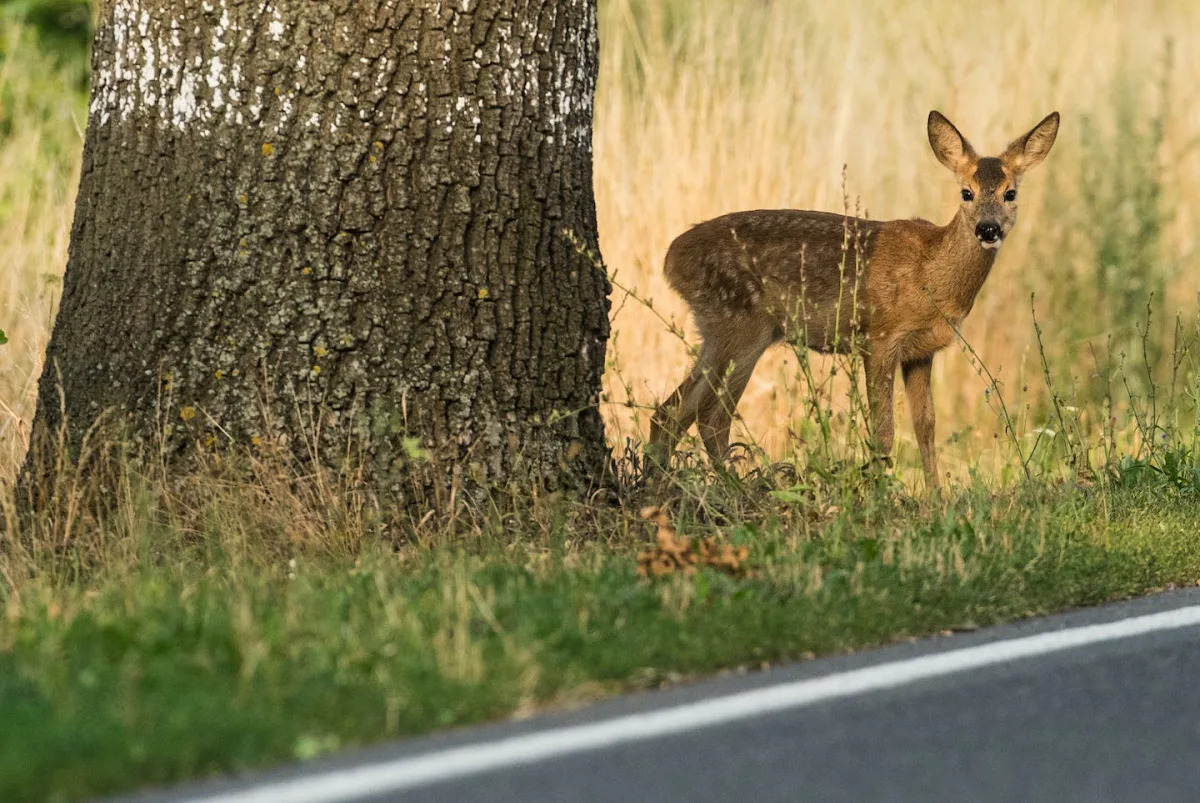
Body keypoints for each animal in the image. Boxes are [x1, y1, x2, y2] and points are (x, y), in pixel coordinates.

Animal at [648, 111, 1060, 489]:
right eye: (966, 192)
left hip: (717, 331)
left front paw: (936, 501)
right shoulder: (879, 338)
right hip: (742, 325)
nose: (988, 229)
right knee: (711, 417)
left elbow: (926, 426)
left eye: (1010, 193)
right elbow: (883, 432)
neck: (931, 275)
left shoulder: (921, 351)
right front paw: (881, 497)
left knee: (671, 413)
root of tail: (672, 258)